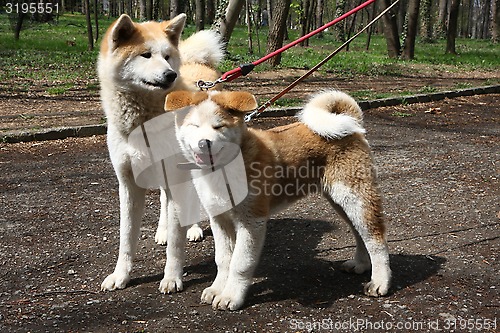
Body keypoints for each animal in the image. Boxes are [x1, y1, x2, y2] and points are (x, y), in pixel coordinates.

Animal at [98, 14, 224, 292]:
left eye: (166, 56)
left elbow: (176, 244)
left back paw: (193, 228)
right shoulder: (128, 185)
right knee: (167, 200)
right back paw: (163, 230)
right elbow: (126, 239)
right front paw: (120, 275)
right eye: (146, 55)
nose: (170, 74)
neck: (142, 124)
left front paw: (172, 278)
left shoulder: (177, 177)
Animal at [164, 89, 390, 308]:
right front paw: (217, 289)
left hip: (356, 199)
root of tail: (352, 126)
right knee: (360, 234)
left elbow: (240, 263)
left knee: (376, 239)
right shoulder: (220, 219)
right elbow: (223, 259)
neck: (225, 170)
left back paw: (380, 282)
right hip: (342, 203)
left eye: (218, 126)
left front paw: (231, 296)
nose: (204, 143)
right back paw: (360, 264)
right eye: (194, 126)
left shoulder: (252, 221)